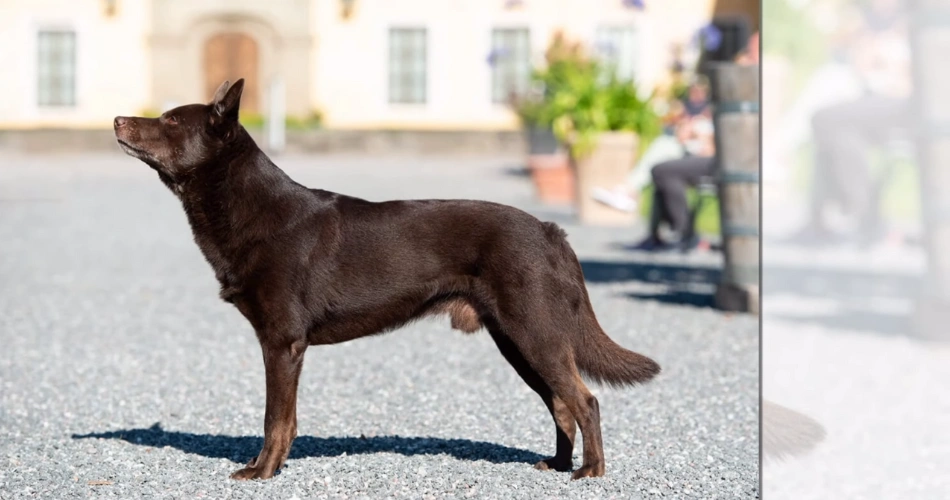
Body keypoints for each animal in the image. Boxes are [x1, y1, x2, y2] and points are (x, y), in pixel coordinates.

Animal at [113, 79, 660, 480]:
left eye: (170, 120)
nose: (118, 119)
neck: (251, 207)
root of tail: (550, 230)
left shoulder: (282, 343)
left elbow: (276, 419)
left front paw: (263, 472)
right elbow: (280, 418)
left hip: (535, 333)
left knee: (584, 400)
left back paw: (590, 472)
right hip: (517, 341)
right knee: (561, 404)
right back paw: (559, 465)